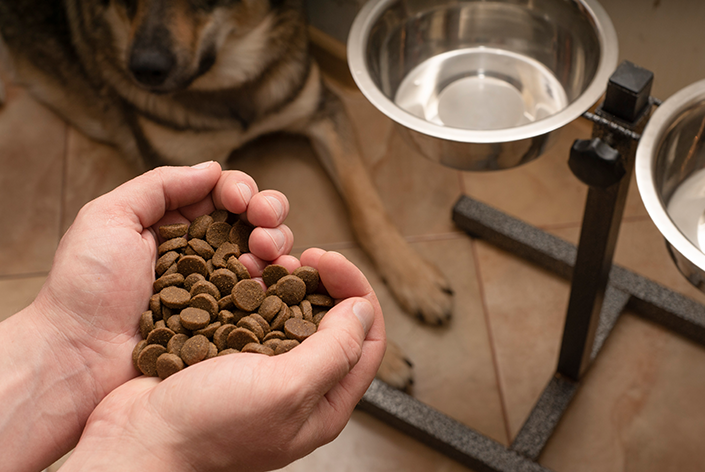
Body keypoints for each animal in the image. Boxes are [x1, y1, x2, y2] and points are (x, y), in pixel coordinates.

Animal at [0, 0, 452, 390]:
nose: (144, 69)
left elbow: (367, 205)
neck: (229, 84)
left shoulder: (321, 110)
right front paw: (386, 358)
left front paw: (415, 278)